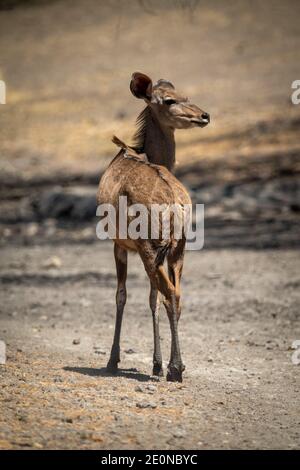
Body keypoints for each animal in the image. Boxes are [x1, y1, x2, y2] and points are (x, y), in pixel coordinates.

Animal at [97, 73, 210, 382]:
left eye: (185, 96)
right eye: (170, 100)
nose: (204, 115)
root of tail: (175, 204)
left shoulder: (119, 243)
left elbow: (122, 295)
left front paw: (113, 360)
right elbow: (150, 298)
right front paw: (156, 363)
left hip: (149, 244)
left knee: (168, 293)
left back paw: (176, 368)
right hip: (178, 246)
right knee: (175, 294)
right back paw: (173, 365)